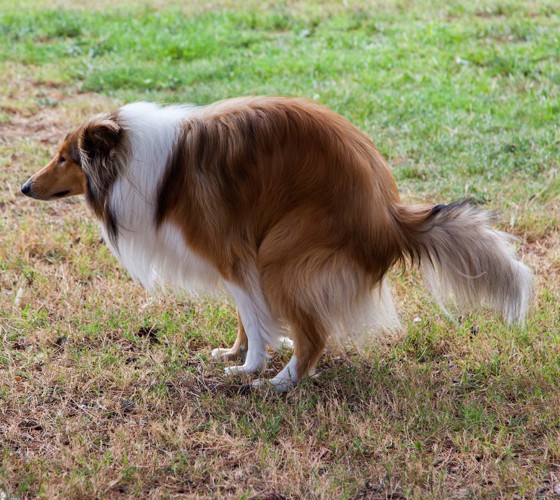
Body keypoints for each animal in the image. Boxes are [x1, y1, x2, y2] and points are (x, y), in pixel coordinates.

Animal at [19, 97, 532, 392]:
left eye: (64, 158)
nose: (24, 187)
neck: (134, 161)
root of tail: (388, 216)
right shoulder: (239, 258)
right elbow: (249, 317)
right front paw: (235, 352)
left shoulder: (233, 254)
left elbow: (252, 316)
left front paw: (248, 368)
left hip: (280, 256)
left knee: (316, 338)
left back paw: (278, 384)